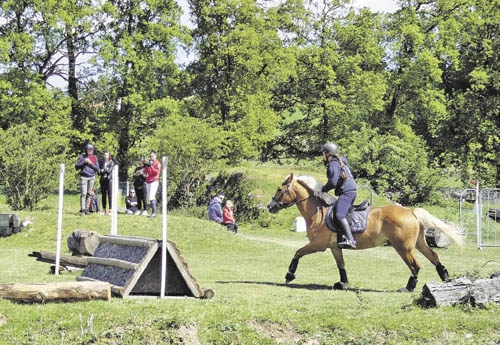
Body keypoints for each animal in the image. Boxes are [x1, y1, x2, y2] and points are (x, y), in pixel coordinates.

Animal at [268, 172, 462, 290]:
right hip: (419, 243)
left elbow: (298, 253)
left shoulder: (318, 244)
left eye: (279, 189)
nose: (270, 206)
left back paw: (408, 287)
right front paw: (343, 283)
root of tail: (410, 211)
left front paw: (289, 275)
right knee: (434, 257)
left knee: (416, 265)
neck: (317, 211)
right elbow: (341, 265)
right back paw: (446, 279)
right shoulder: (334, 247)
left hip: (402, 247)